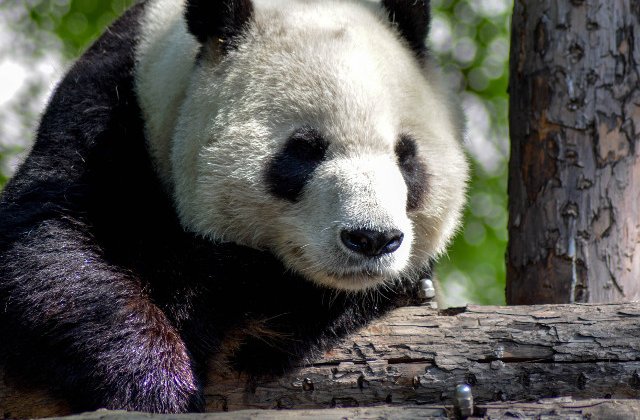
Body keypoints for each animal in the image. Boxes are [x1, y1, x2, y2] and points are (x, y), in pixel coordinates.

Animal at [0, 0, 468, 414]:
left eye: (406, 156)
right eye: (304, 150)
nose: (371, 239)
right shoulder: (109, 108)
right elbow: (46, 248)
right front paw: (157, 386)